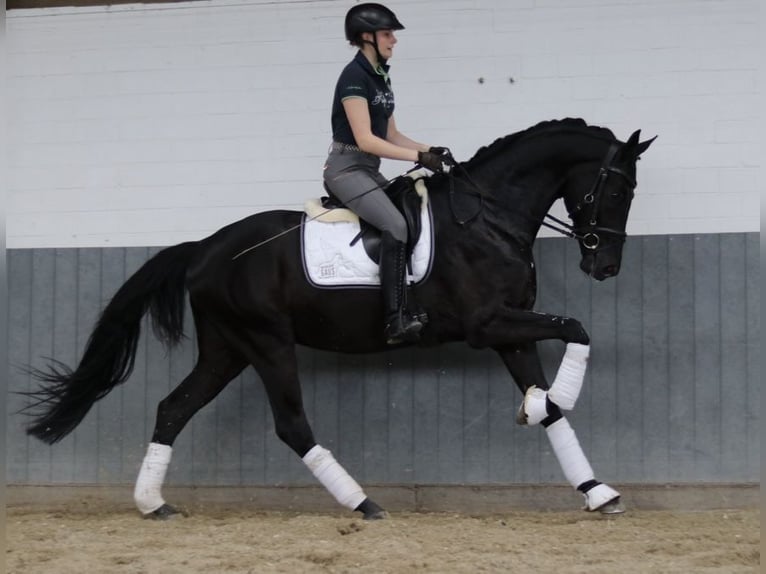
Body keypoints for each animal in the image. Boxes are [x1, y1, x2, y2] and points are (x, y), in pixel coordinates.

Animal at [27, 118, 656, 520]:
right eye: (616, 189)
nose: (605, 265)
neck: (488, 217)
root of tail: (205, 248)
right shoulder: (489, 325)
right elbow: (575, 332)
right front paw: (554, 400)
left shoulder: (511, 328)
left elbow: (552, 403)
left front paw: (596, 489)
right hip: (266, 343)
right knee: (290, 425)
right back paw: (363, 502)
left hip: (227, 348)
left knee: (173, 409)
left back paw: (153, 504)